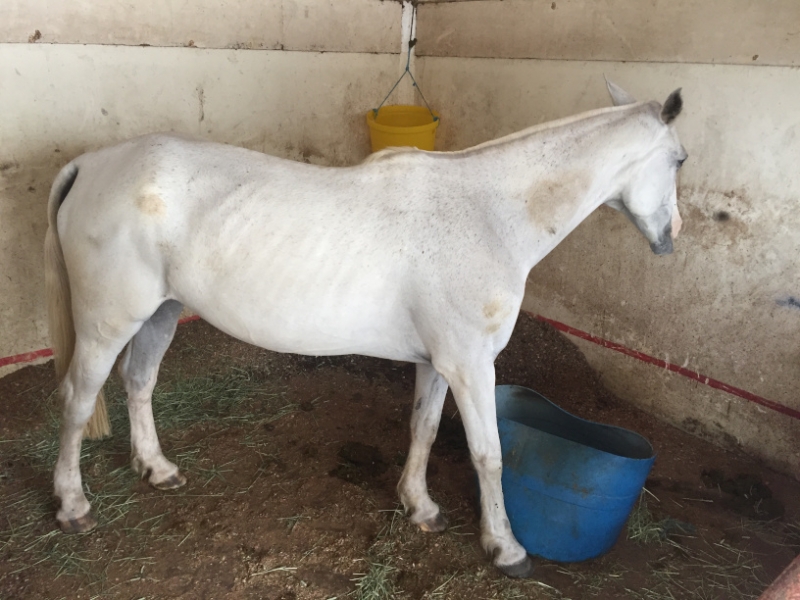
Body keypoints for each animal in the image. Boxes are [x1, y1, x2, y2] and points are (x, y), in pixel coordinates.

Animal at [45, 80, 685, 578]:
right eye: (679, 160)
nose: (671, 237)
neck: (489, 215)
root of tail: (91, 164)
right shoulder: (471, 366)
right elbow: (489, 456)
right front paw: (505, 549)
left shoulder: (438, 363)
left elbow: (424, 428)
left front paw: (420, 507)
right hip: (107, 322)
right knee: (77, 399)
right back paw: (73, 505)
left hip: (160, 313)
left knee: (139, 382)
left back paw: (157, 469)